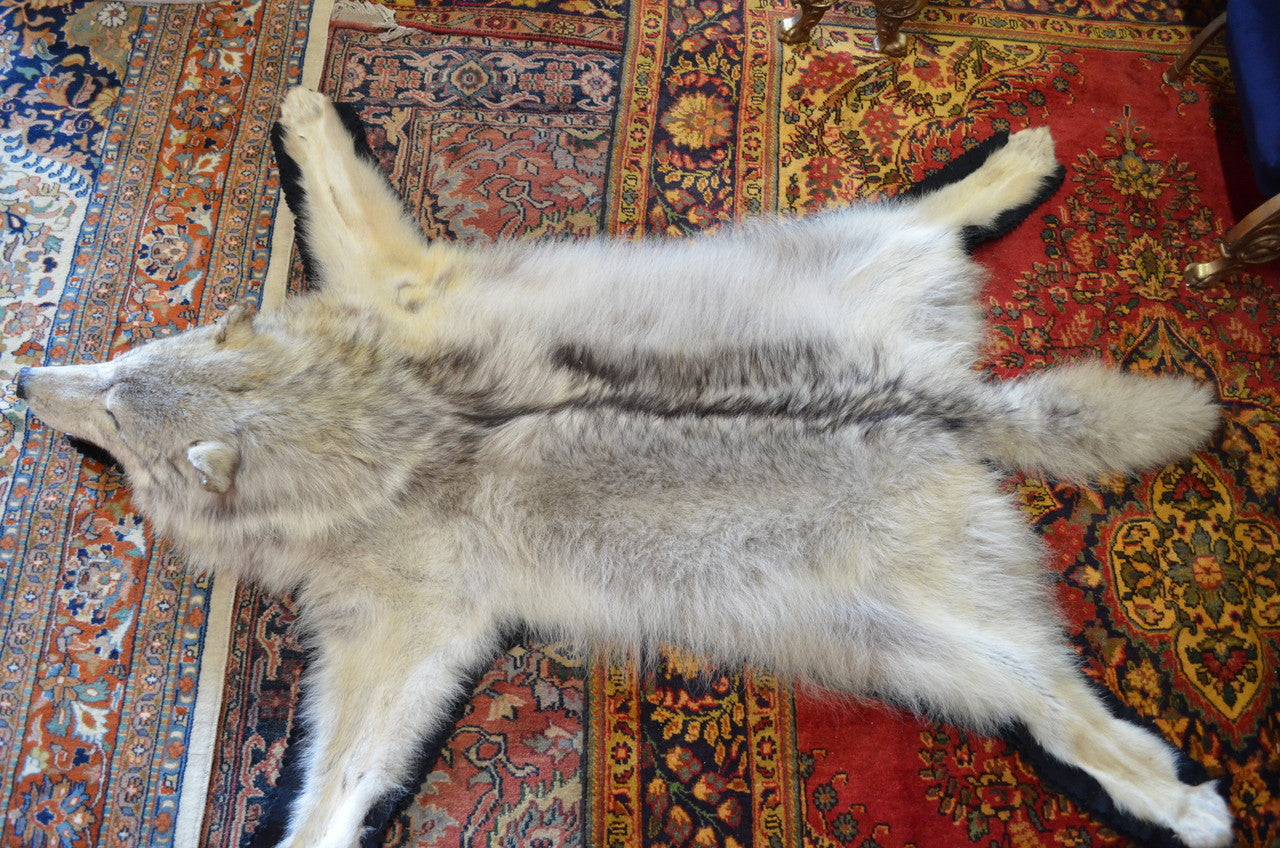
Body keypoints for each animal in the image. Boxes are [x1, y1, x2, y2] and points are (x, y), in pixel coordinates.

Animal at [16, 87, 1232, 848]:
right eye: (117, 367)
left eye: (113, 411)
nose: (24, 378)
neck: (400, 429)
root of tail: (946, 402)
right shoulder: (405, 318)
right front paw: (314, 117)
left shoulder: (403, 320)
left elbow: (332, 790)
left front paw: (309, 119)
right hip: (867, 329)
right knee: (930, 220)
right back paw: (1012, 167)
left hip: (938, 637)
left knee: (1061, 714)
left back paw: (1170, 801)